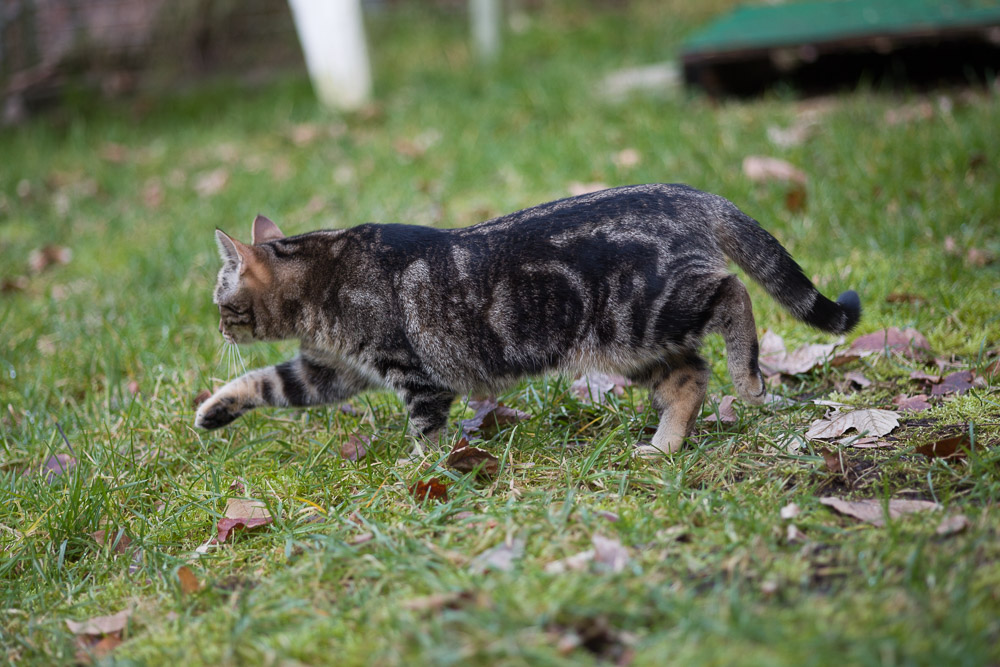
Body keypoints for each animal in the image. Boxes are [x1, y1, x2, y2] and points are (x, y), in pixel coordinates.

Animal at [197, 183, 860, 456]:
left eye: (220, 303)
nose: (220, 329)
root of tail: (688, 193)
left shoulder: (414, 375)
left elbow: (426, 431)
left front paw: (427, 471)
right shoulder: (331, 371)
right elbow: (263, 382)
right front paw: (211, 410)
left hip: (650, 313)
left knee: (734, 295)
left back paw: (748, 378)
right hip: (632, 346)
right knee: (688, 380)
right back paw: (663, 446)